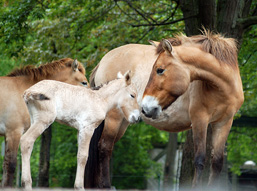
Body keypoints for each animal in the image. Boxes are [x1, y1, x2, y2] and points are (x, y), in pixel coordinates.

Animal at [87, 31, 242, 188]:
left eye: (159, 70)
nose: (145, 107)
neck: (222, 88)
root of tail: (103, 61)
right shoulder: (200, 119)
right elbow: (199, 160)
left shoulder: (224, 123)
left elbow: (217, 163)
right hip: (114, 118)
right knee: (105, 147)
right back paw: (106, 185)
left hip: (123, 121)